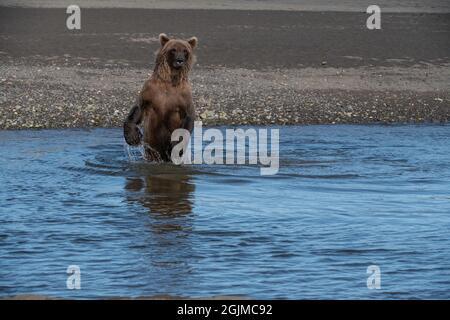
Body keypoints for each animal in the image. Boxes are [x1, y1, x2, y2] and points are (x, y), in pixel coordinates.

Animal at [125, 33, 199, 161]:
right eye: (173, 50)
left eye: (185, 50)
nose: (180, 61)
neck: (170, 80)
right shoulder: (151, 90)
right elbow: (138, 108)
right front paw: (132, 136)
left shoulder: (184, 96)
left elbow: (189, 115)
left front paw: (177, 146)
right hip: (151, 147)